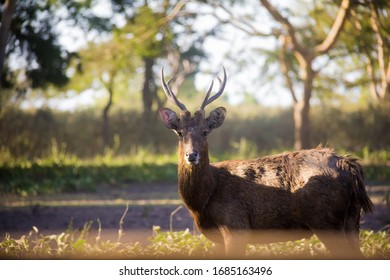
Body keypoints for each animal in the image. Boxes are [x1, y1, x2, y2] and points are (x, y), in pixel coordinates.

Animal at [159, 66, 374, 258]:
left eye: (205, 132)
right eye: (180, 132)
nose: (191, 155)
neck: (202, 201)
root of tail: (350, 166)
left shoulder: (236, 225)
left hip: (326, 220)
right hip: (352, 218)